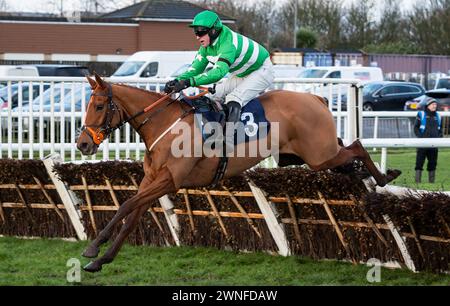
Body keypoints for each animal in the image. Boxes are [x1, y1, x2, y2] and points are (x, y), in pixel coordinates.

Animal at [76, 72, 400, 272]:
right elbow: (131, 215)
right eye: (89, 105)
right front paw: (102, 259)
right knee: (347, 152)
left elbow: (126, 206)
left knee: (357, 145)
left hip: (320, 155)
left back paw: (383, 177)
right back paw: (365, 174)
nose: (82, 144)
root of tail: (316, 98)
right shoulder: (152, 180)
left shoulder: (171, 180)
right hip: (312, 154)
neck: (165, 124)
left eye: (100, 105)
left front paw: (93, 249)